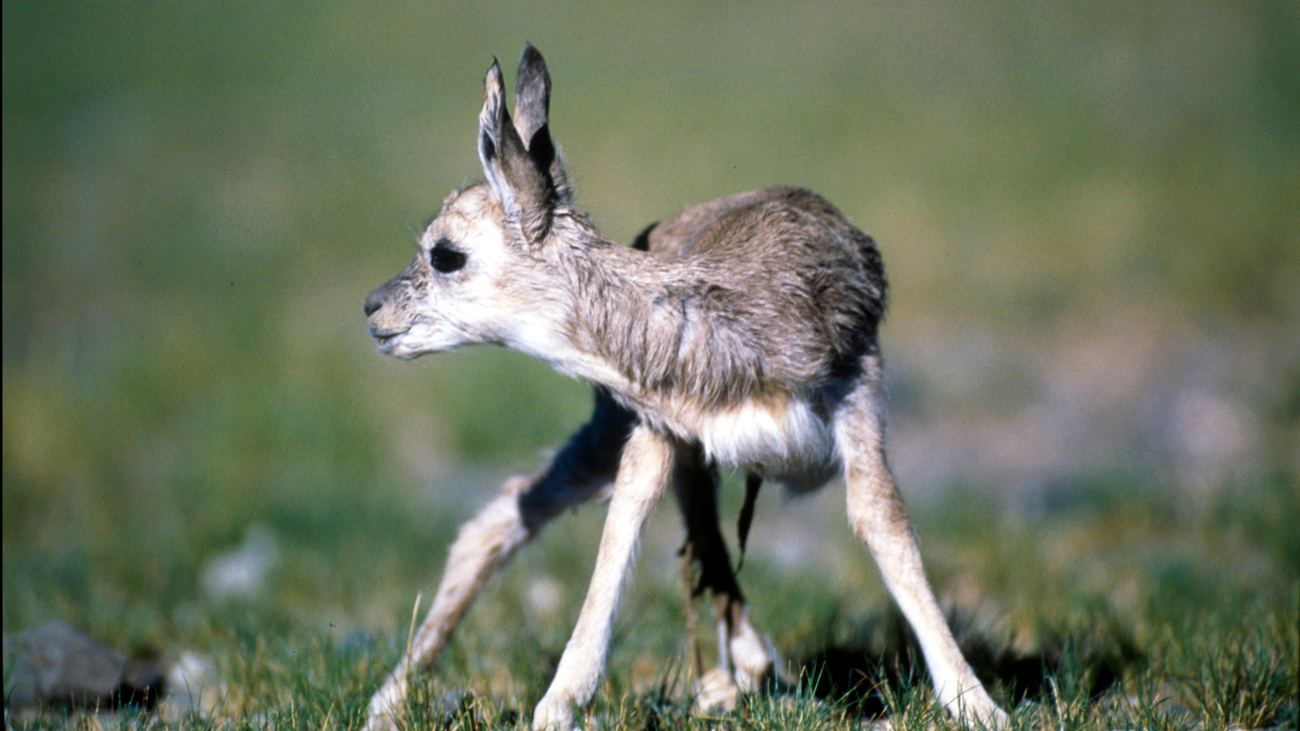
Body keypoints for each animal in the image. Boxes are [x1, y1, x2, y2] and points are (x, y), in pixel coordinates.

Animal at [361, 45, 1008, 728]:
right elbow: (623, 528)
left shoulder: (856, 392)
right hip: (617, 437)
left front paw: (978, 704)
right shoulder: (655, 428)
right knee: (502, 519)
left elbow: (882, 521)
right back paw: (385, 703)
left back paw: (747, 667)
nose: (373, 308)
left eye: (445, 253)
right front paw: (558, 706)